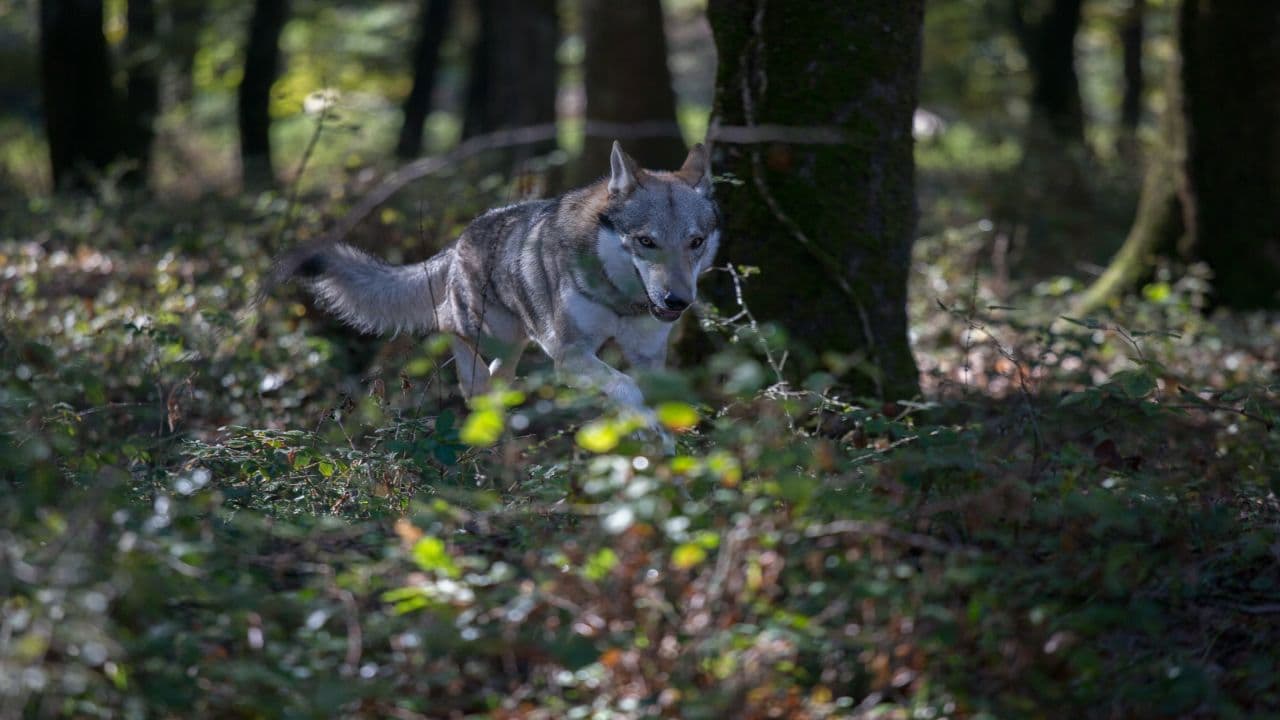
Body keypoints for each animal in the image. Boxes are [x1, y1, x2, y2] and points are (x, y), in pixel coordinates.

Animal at [267, 142, 720, 446]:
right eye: (646, 242)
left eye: (695, 243)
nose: (678, 302)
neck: (622, 299)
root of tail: (460, 239)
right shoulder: (570, 356)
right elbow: (626, 386)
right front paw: (650, 433)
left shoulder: (648, 355)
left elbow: (652, 398)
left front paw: (662, 445)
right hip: (489, 328)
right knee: (448, 329)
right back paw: (476, 388)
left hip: (517, 342)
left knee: (499, 377)